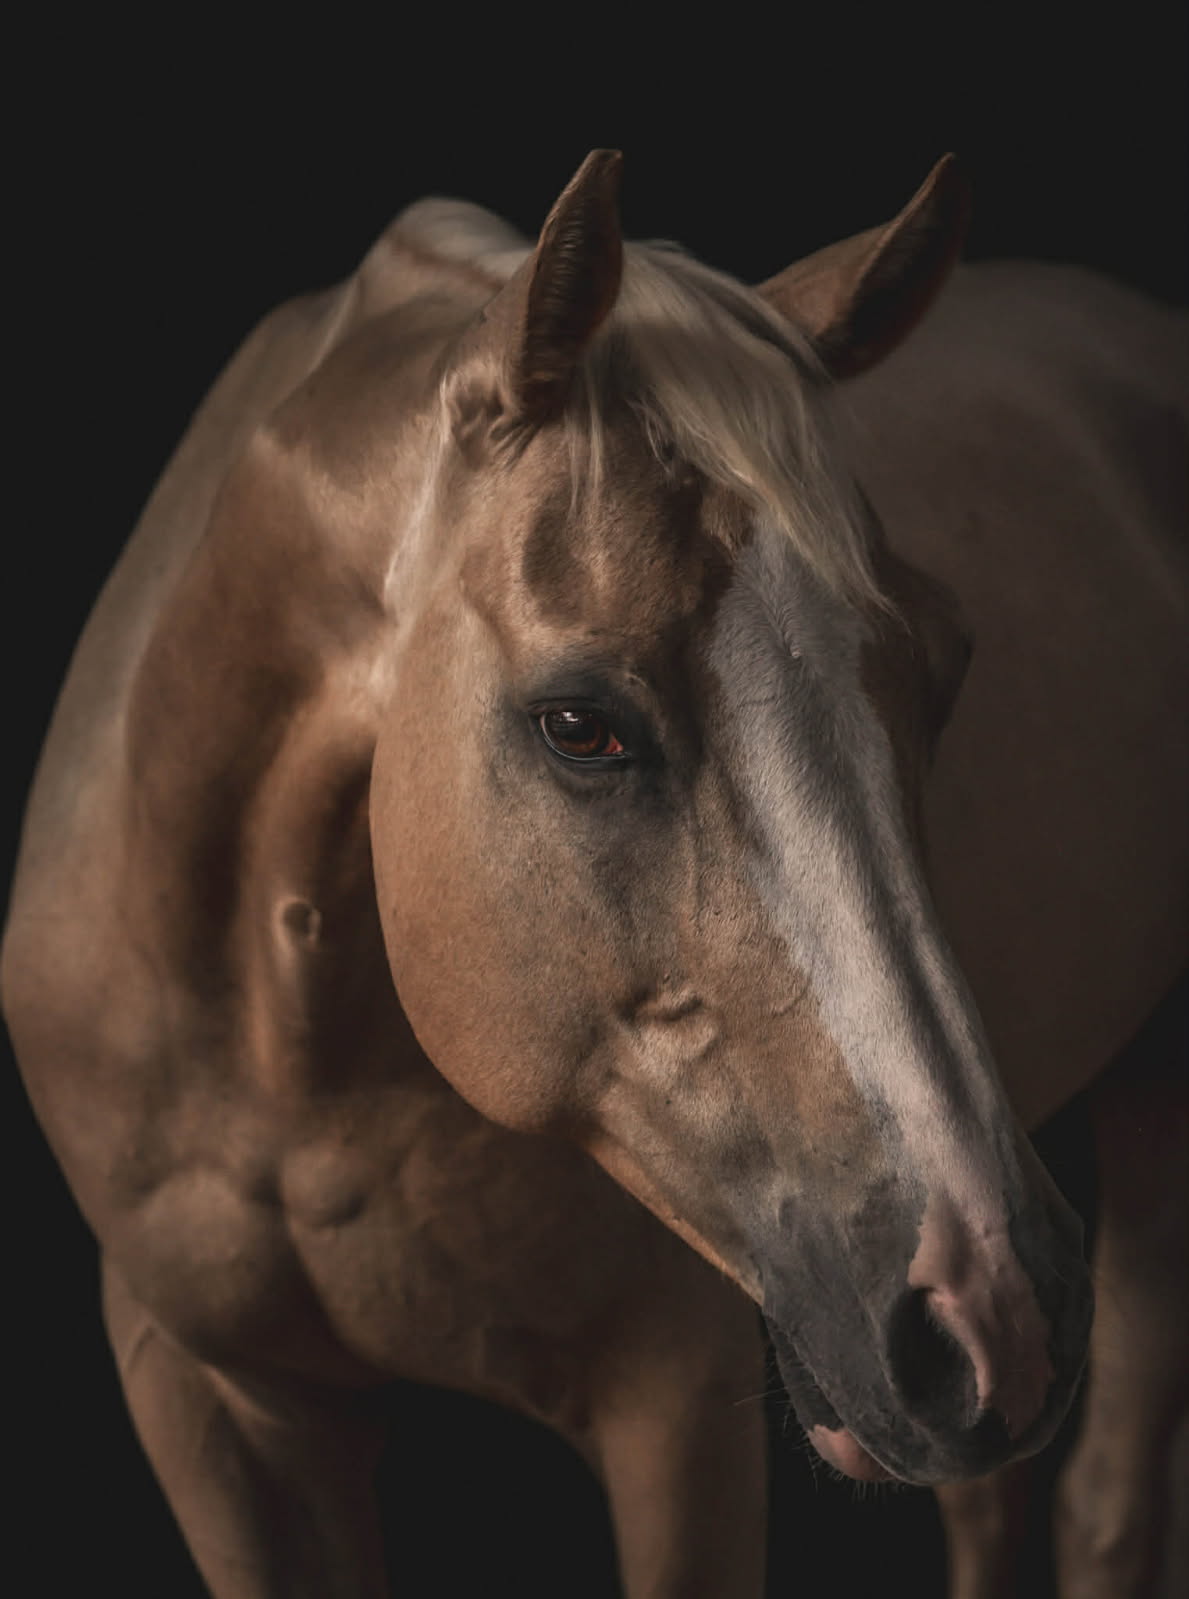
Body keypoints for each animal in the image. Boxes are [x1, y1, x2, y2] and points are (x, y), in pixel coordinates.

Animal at [3, 149, 1185, 1598]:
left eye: (947, 667)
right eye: (580, 725)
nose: (991, 1304)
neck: (287, 1048)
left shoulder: (675, 1410)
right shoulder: (209, 1398)